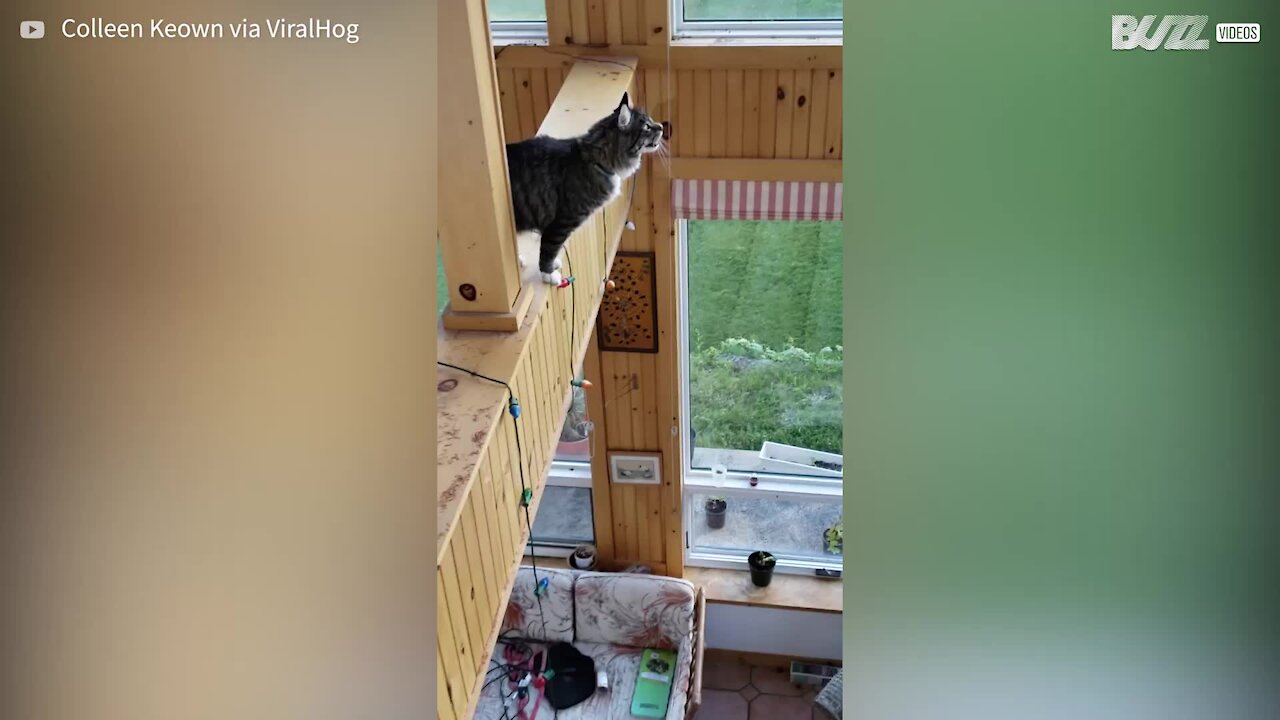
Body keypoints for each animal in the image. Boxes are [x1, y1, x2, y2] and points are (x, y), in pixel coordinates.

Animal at [504, 94, 665, 284]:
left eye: (652, 122)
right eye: (646, 126)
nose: (662, 126)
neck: (595, 161)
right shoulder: (561, 223)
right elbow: (549, 249)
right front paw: (548, 274)